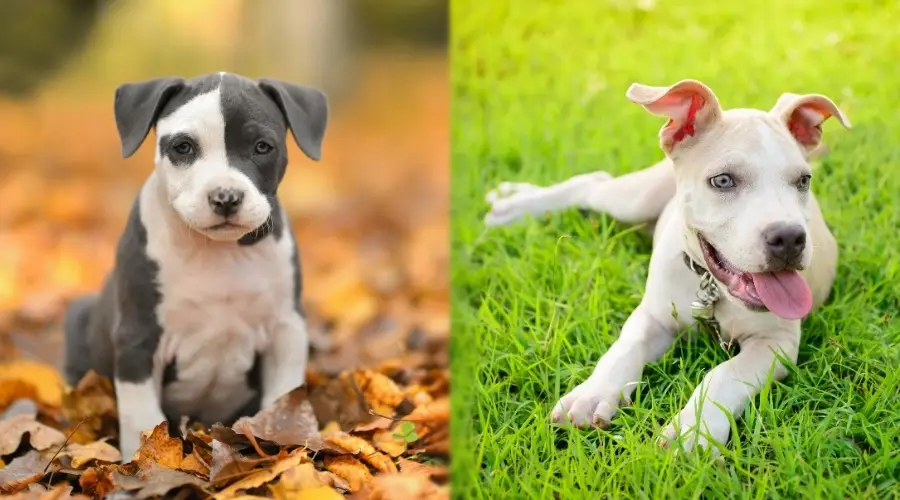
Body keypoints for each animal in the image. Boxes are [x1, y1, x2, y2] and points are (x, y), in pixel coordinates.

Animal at [61, 72, 326, 458]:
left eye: (262, 146)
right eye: (183, 147)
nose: (225, 197)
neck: (218, 252)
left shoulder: (286, 328)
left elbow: (282, 396)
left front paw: (285, 438)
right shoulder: (138, 336)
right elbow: (142, 416)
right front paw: (142, 461)